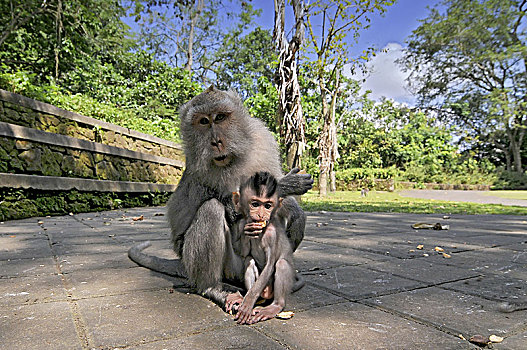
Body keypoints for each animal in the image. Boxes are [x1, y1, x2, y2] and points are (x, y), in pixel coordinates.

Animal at [129, 85, 314, 308]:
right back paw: (212, 288)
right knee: (212, 209)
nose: (216, 141)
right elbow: (232, 208)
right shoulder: (198, 166)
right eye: (203, 121)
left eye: (219, 118)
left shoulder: (262, 139)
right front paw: (287, 185)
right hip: (223, 265)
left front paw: (295, 210)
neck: (234, 158)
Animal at [225, 171, 294, 324]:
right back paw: (246, 297)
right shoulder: (241, 223)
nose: (261, 215)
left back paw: (274, 306)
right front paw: (248, 232)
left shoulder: (272, 234)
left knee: (281, 263)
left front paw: (248, 302)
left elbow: (270, 264)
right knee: (249, 260)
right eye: (255, 204)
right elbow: (244, 253)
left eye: (268, 206)